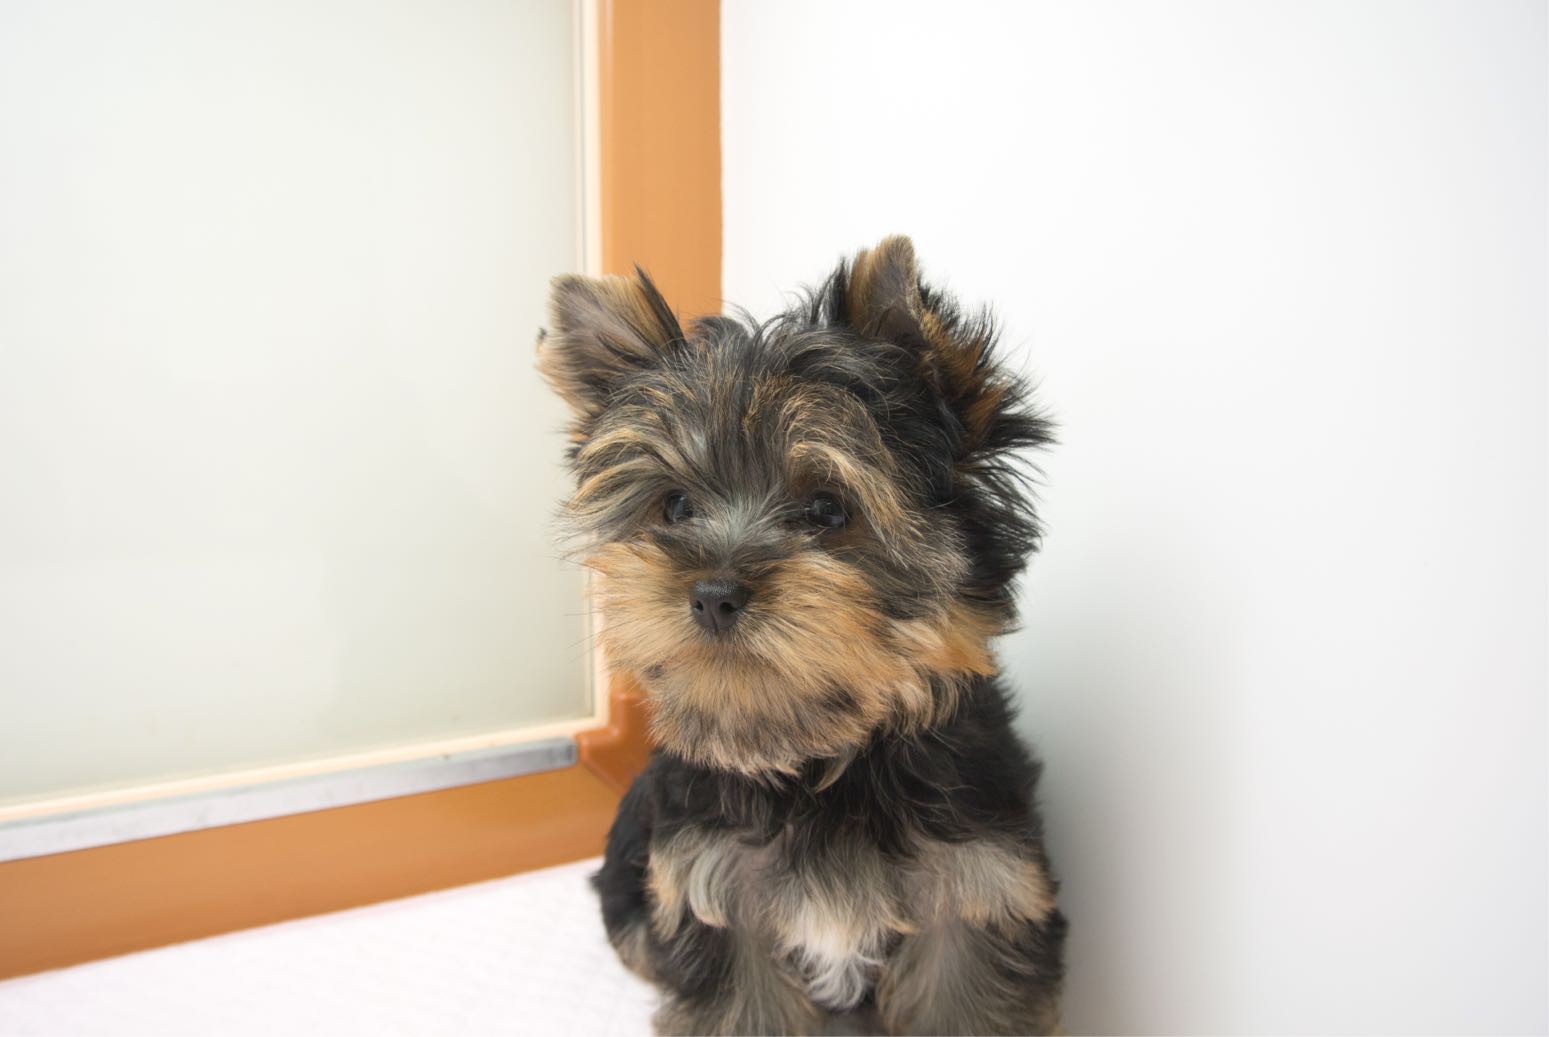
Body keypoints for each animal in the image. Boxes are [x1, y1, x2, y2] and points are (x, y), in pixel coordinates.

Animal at [538, 236, 1067, 1035]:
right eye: (675, 505)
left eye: (826, 509)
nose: (714, 593)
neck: (820, 761)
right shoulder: (715, 888)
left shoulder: (975, 885)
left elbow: (962, 995)